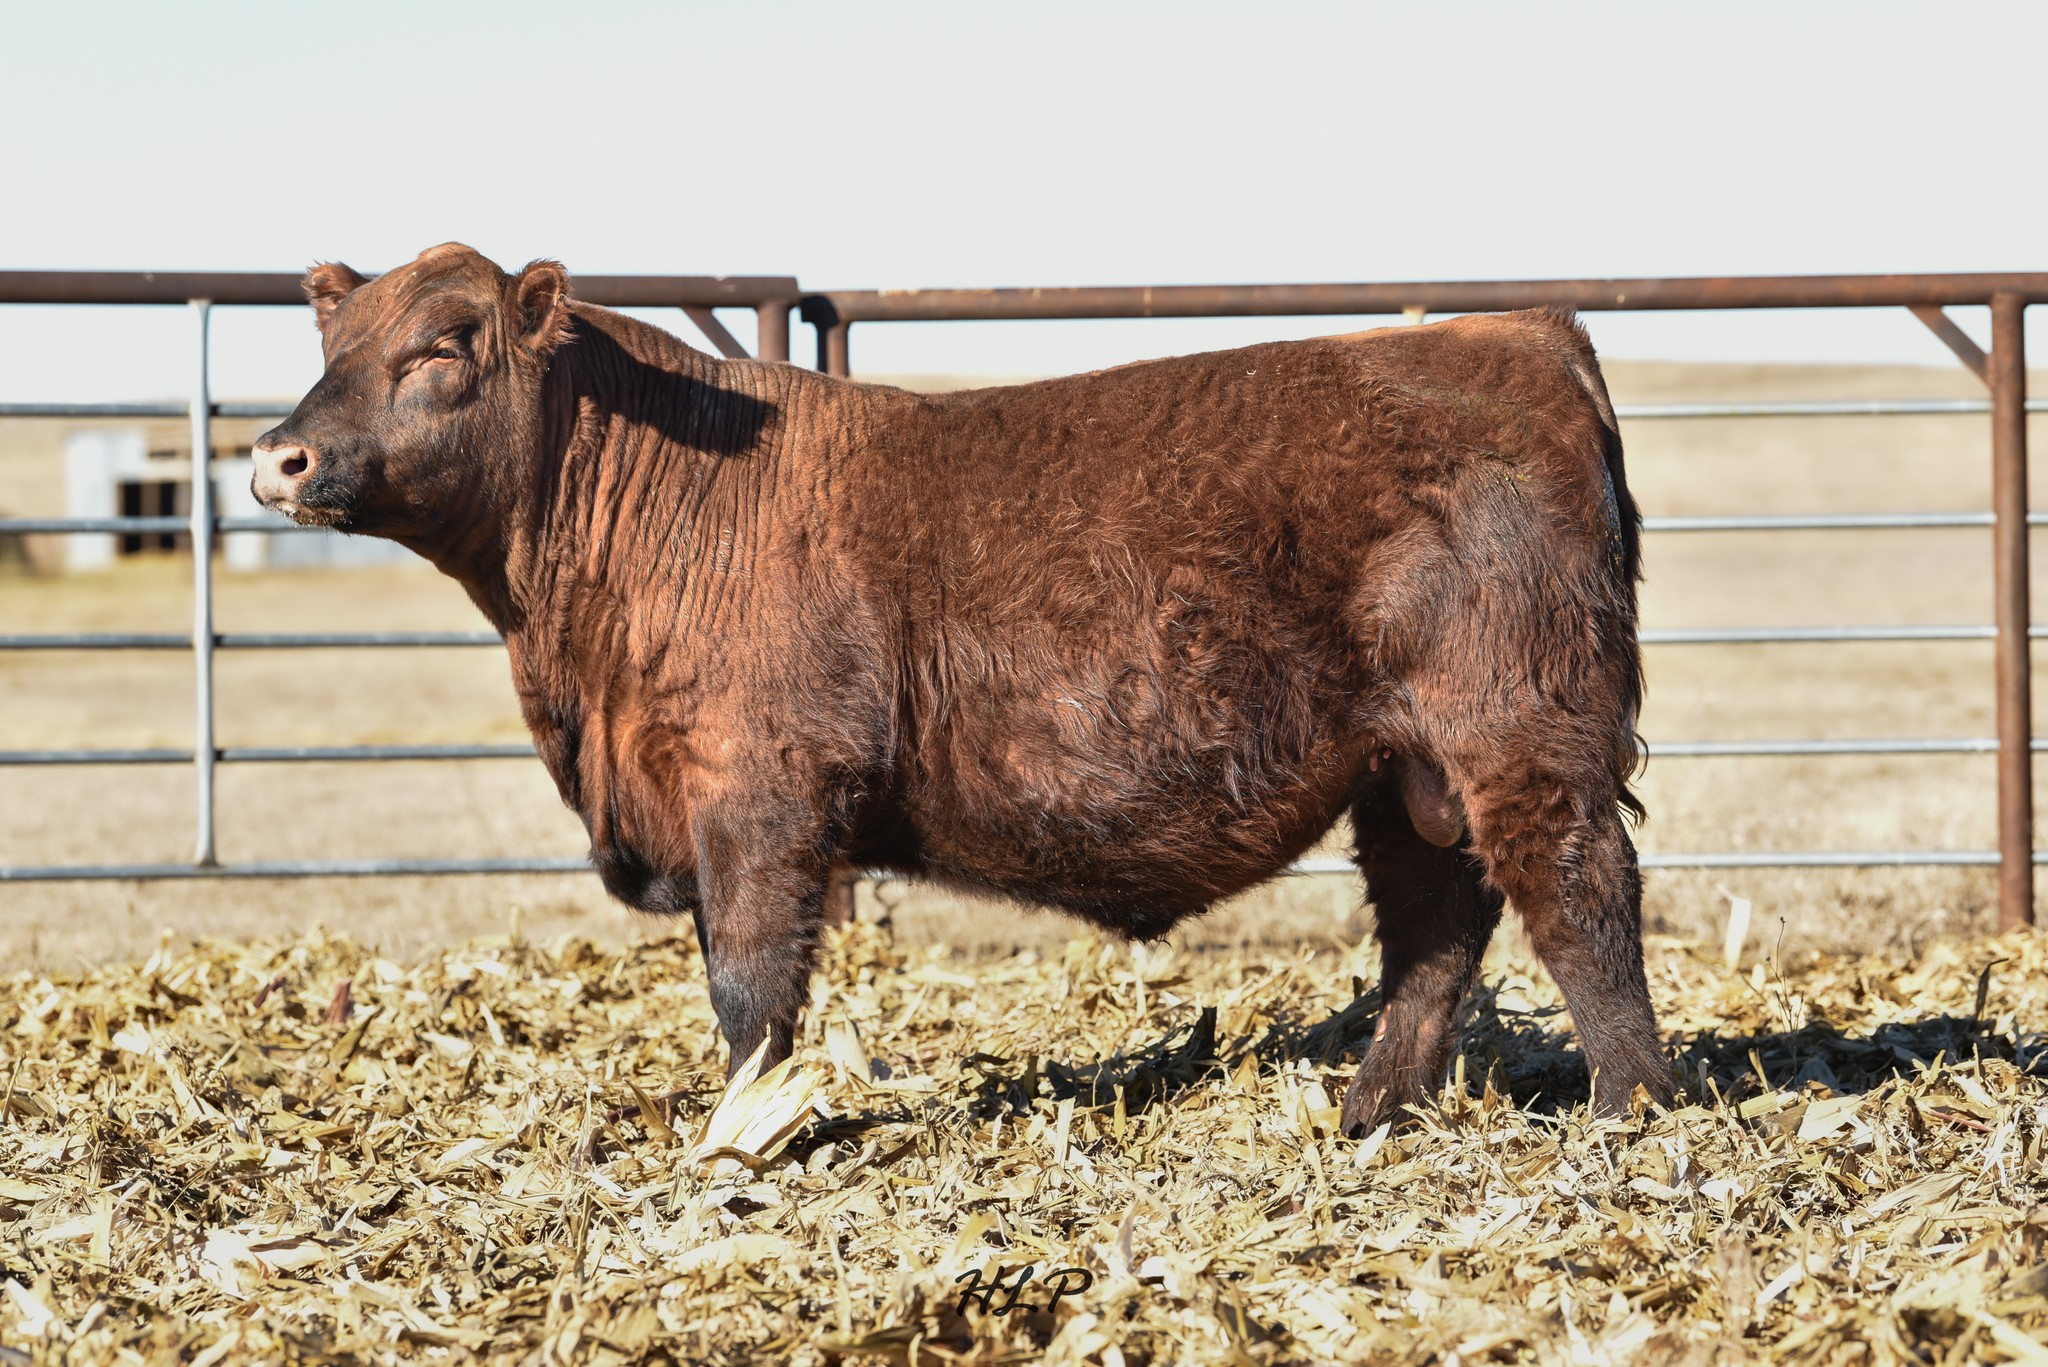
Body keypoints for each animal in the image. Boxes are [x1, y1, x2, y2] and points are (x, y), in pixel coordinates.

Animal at [251, 243, 1673, 1134]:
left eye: (444, 345)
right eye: (330, 340)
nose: (277, 455)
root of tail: (1525, 331)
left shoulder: (759, 794)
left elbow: (750, 984)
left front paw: (741, 1130)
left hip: (1523, 726)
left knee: (1579, 897)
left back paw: (1629, 1110)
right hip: (1403, 761)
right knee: (1436, 924)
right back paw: (1370, 1107)